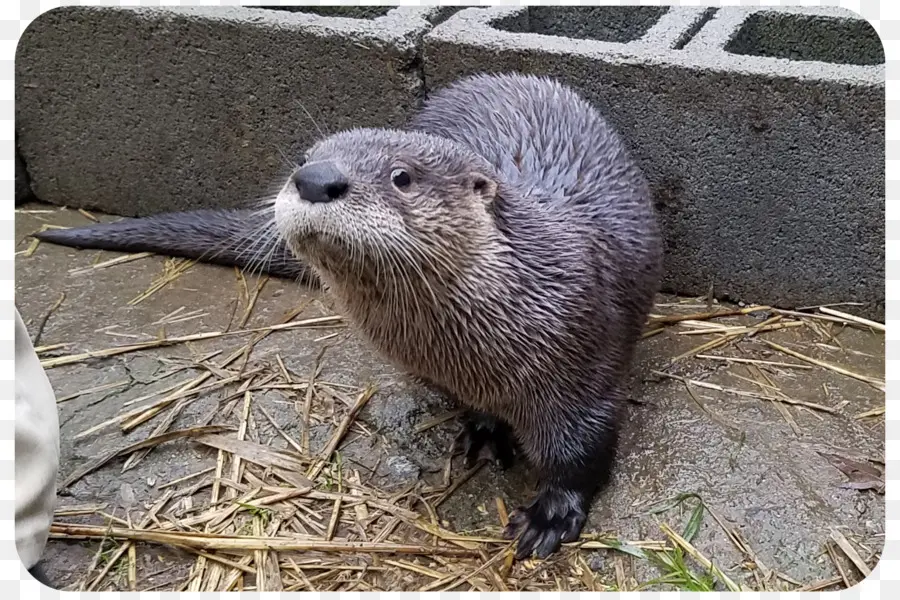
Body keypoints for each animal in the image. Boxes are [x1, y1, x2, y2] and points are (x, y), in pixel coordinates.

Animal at [31, 72, 664, 560]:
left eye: (401, 177)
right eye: (303, 160)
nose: (315, 180)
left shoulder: (580, 366)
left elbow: (583, 454)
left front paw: (550, 517)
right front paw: (485, 431)